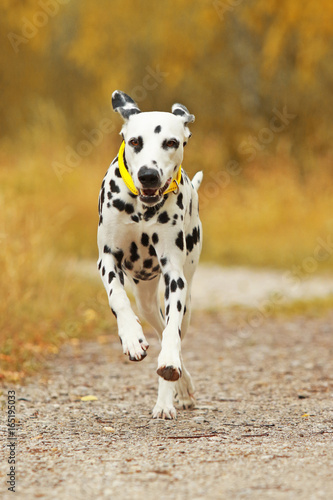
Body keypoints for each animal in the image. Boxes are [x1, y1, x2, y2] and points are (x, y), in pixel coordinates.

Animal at [96, 90, 202, 418]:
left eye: (171, 142)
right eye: (134, 142)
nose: (148, 175)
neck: (142, 209)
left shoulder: (174, 276)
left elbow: (171, 336)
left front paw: (169, 367)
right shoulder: (106, 259)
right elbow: (117, 297)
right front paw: (131, 337)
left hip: (184, 298)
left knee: (173, 332)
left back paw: (170, 395)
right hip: (144, 301)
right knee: (154, 323)